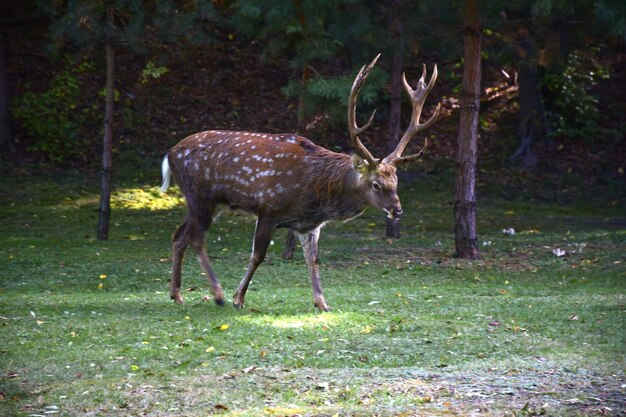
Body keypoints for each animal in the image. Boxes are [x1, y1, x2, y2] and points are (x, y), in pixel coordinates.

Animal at [158, 54, 436, 308]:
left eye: (396, 182)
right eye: (376, 184)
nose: (397, 210)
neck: (316, 193)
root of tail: (170, 154)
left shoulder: (308, 225)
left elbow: (312, 259)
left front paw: (322, 302)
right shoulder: (268, 209)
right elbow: (258, 255)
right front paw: (239, 298)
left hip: (202, 202)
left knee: (178, 235)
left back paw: (177, 294)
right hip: (200, 196)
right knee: (196, 238)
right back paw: (217, 295)